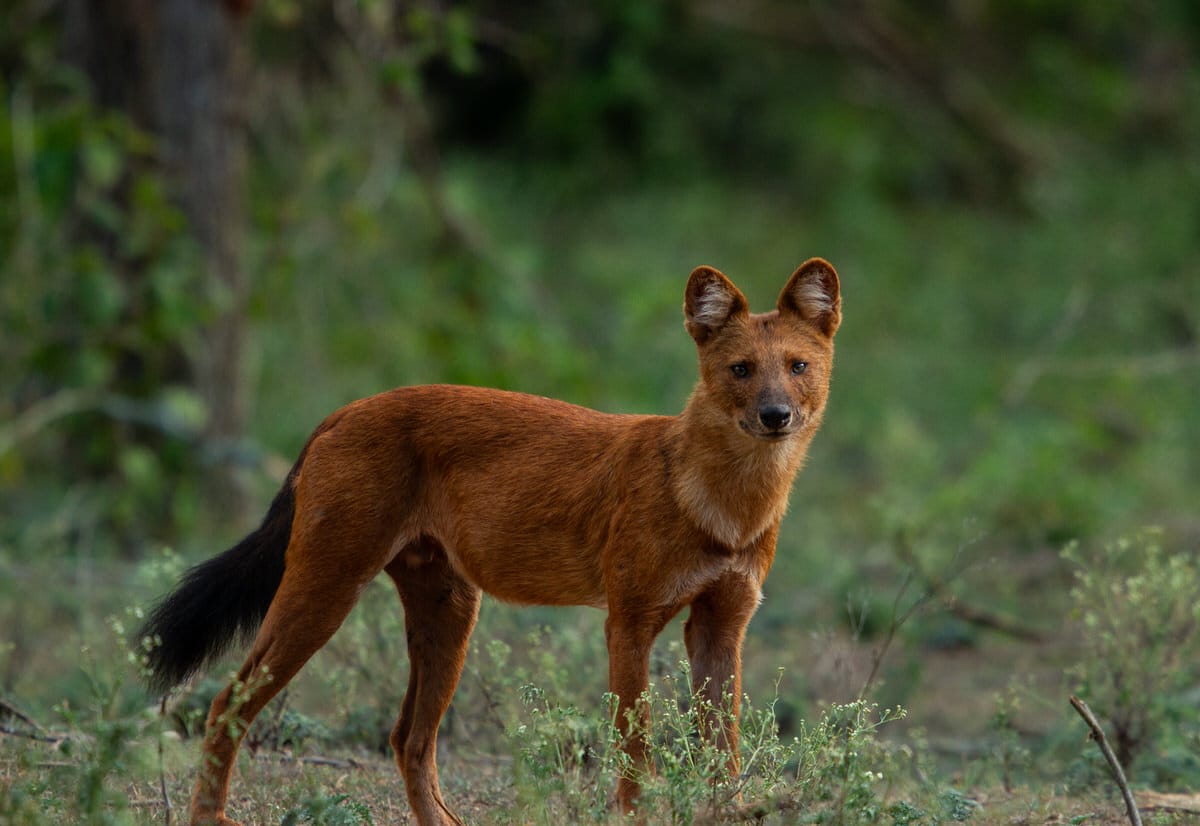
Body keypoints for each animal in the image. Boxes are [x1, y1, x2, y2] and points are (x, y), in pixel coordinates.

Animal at [136, 258, 840, 826]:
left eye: (797, 367)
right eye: (741, 370)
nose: (775, 415)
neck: (726, 504)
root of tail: (342, 411)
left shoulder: (721, 624)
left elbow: (724, 753)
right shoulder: (629, 622)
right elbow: (635, 755)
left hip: (449, 612)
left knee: (407, 739)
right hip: (325, 589)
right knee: (225, 704)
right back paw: (208, 815)